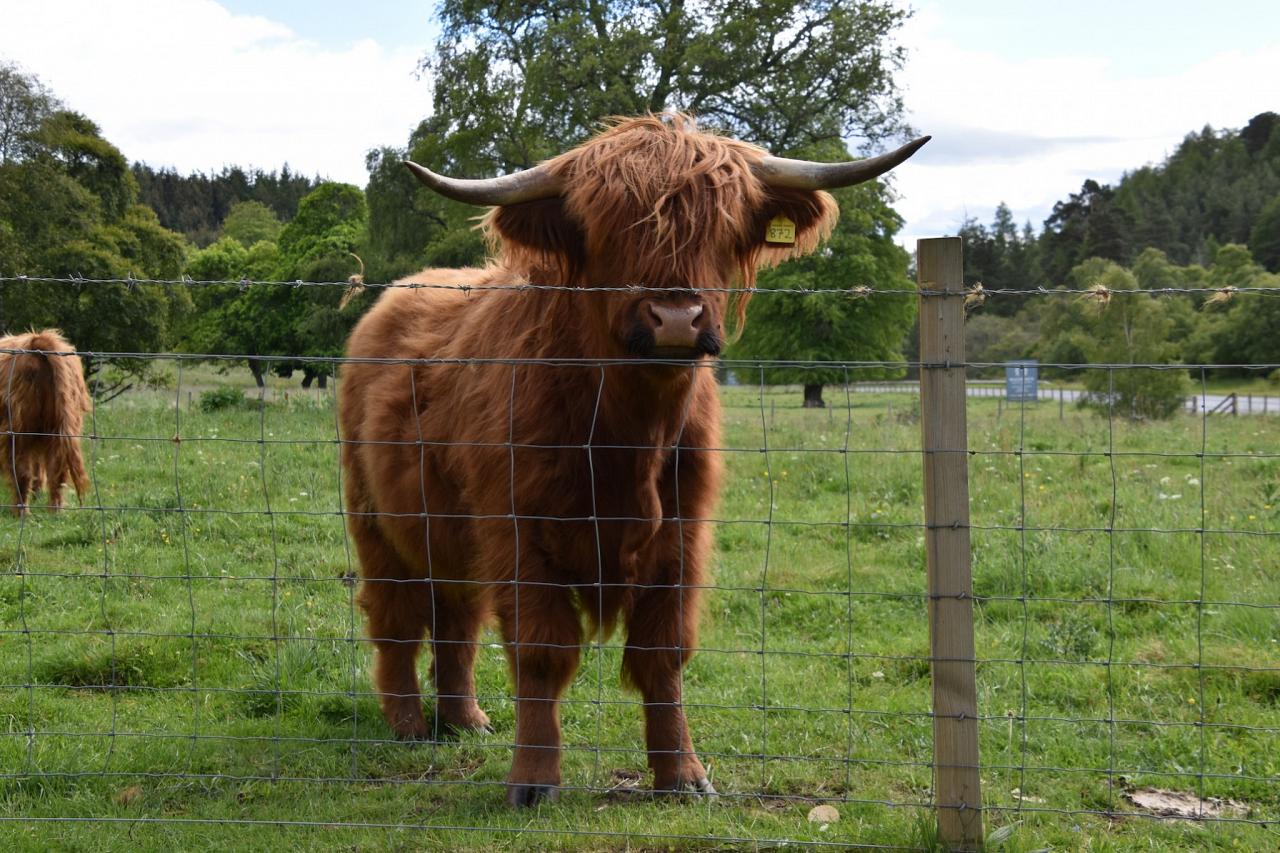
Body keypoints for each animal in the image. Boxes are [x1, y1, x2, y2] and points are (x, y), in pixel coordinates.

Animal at [0, 326, 91, 512]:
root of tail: (36, 341)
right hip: (61, 426)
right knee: (57, 472)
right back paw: (55, 512)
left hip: (18, 429)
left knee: (22, 472)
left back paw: (21, 512)